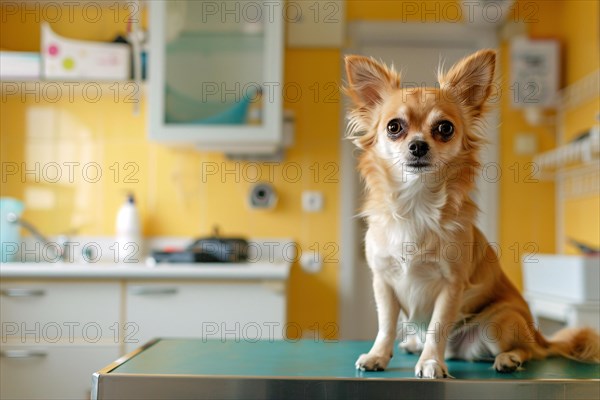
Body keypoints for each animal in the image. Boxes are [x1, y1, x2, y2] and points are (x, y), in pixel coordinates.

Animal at [344, 50, 596, 378]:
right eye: (394, 127)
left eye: (445, 129)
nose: (418, 145)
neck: (416, 203)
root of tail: (538, 334)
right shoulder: (384, 282)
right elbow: (386, 325)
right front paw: (378, 356)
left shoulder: (451, 285)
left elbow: (437, 327)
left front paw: (430, 362)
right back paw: (413, 344)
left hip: (500, 322)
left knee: (529, 351)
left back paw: (508, 359)